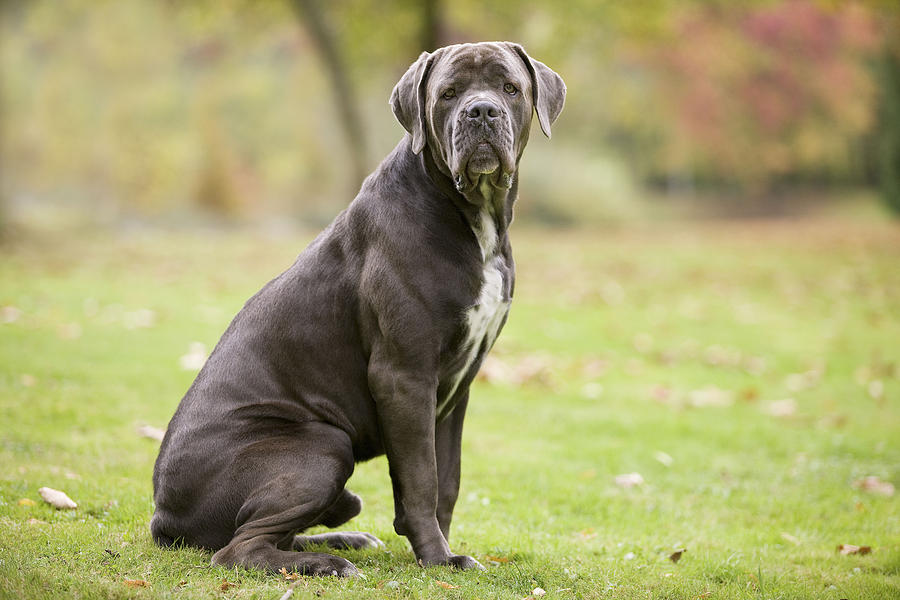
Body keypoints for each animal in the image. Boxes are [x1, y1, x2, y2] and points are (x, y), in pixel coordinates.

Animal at [151, 42, 568, 576]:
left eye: (510, 88)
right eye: (449, 93)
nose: (480, 111)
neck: (472, 215)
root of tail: (164, 516)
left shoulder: (457, 388)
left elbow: (447, 480)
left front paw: (439, 553)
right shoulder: (404, 375)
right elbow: (422, 479)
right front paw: (438, 559)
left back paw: (343, 541)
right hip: (322, 444)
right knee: (239, 548)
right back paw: (326, 564)